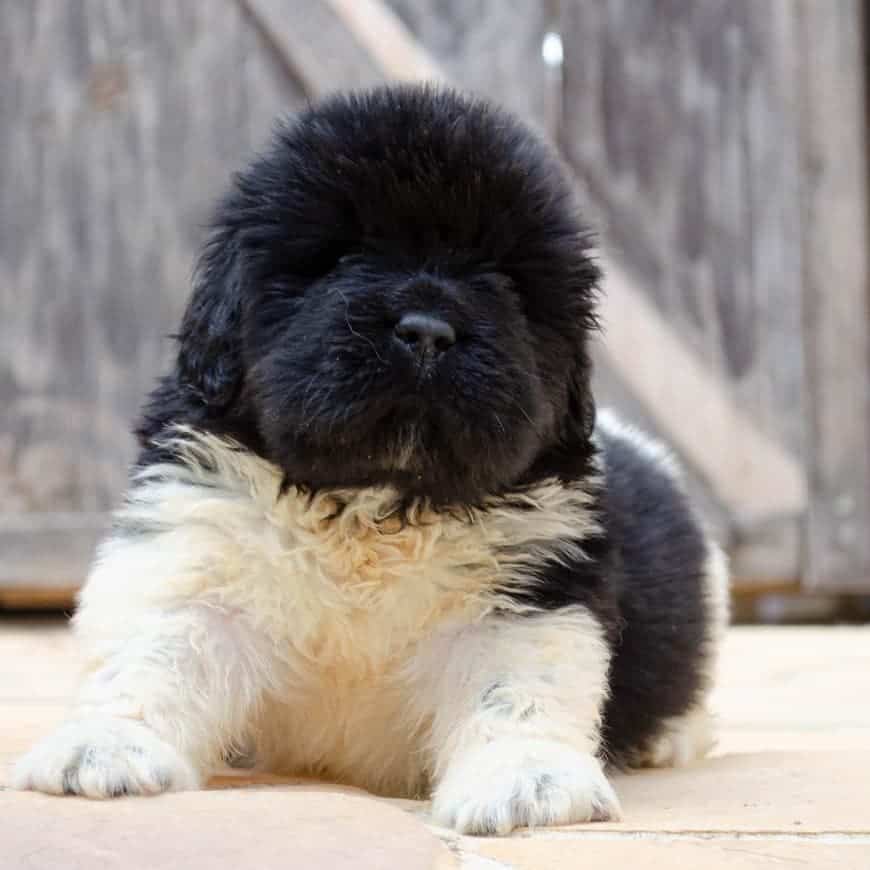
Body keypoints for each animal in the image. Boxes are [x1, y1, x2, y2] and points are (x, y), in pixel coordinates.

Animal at [13, 83, 728, 836]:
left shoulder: (530, 587)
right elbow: (154, 655)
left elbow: (515, 686)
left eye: (501, 278)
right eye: (341, 259)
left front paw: (527, 779)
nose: (428, 331)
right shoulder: (197, 543)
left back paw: (665, 739)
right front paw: (105, 745)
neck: (373, 503)